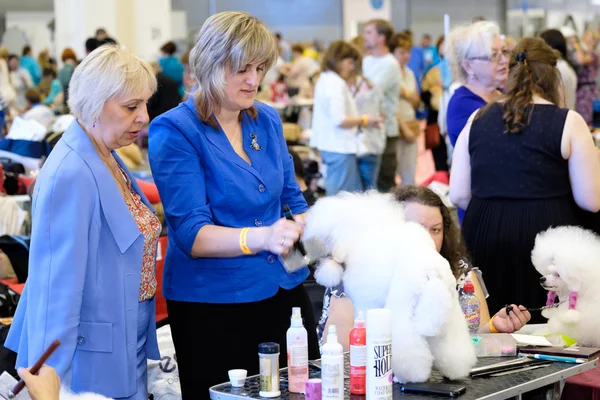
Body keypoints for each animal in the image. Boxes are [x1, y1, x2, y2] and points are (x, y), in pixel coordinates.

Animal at [304, 192, 478, 382]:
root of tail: (432, 273)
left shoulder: (365, 303)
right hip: (451, 313)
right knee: (453, 349)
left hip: (403, 309)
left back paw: (405, 377)